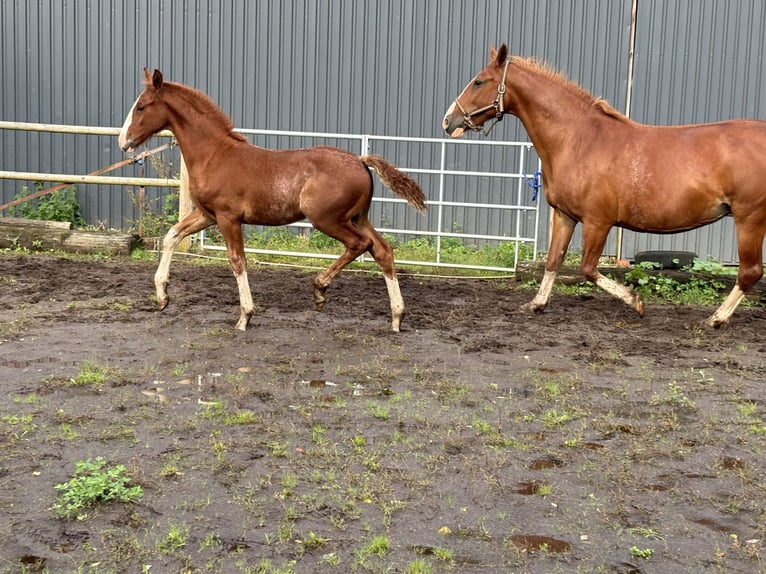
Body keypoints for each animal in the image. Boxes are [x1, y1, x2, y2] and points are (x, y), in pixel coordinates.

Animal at [123, 68, 428, 332]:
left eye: (142, 107)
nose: (123, 142)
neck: (215, 155)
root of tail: (360, 161)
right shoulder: (207, 214)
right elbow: (171, 236)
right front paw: (162, 296)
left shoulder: (228, 217)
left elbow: (237, 261)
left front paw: (245, 316)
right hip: (357, 217)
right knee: (382, 251)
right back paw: (396, 317)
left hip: (328, 220)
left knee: (360, 244)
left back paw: (320, 289)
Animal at [444, 44, 766, 328]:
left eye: (479, 81)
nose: (448, 121)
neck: (579, 140)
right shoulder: (565, 215)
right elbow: (553, 261)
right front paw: (536, 304)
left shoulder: (598, 221)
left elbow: (587, 269)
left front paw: (636, 302)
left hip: (749, 219)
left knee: (749, 272)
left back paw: (715, 319)